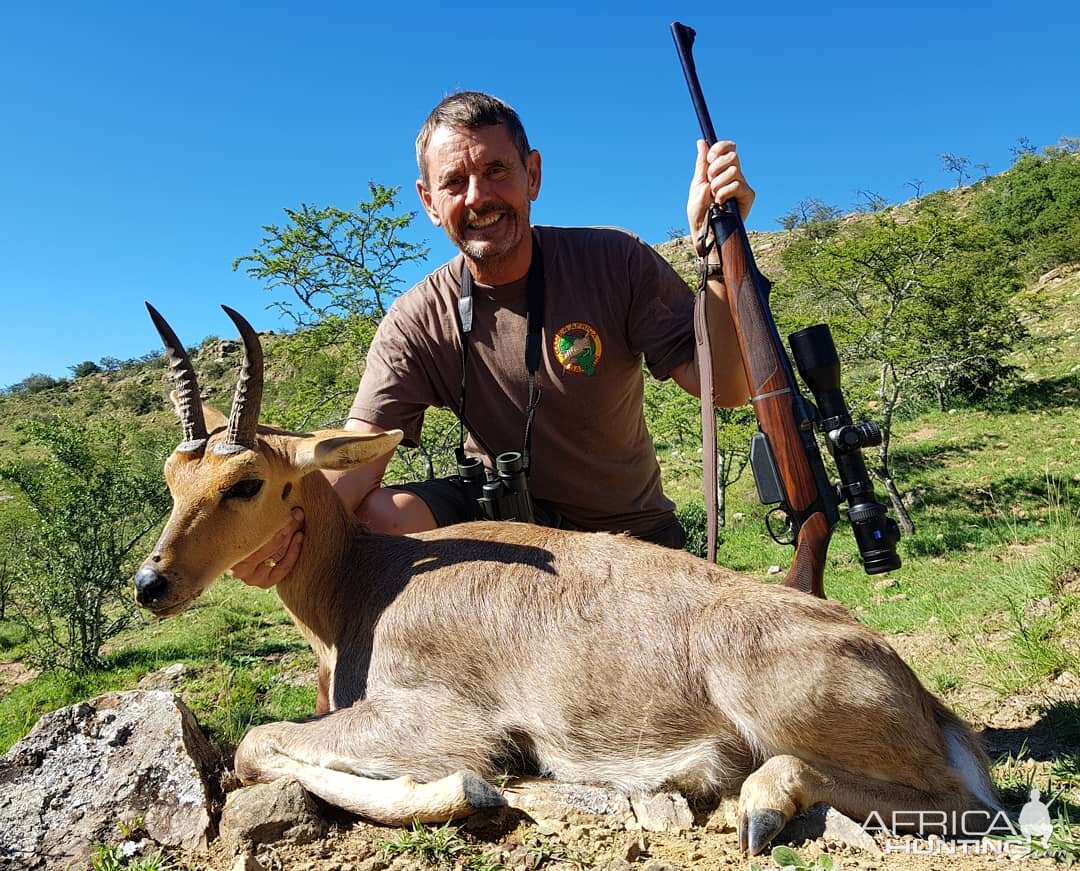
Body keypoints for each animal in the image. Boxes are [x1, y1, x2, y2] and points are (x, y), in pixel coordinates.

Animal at [135, 304, 1002, 851]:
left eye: (246, 481)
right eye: (174, 475)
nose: (152, 583)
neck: (366, 582)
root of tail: (909, 682)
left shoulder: (439, 722)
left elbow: (256, 743)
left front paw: (478, 791)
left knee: (966, 801)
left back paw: (757, 807)